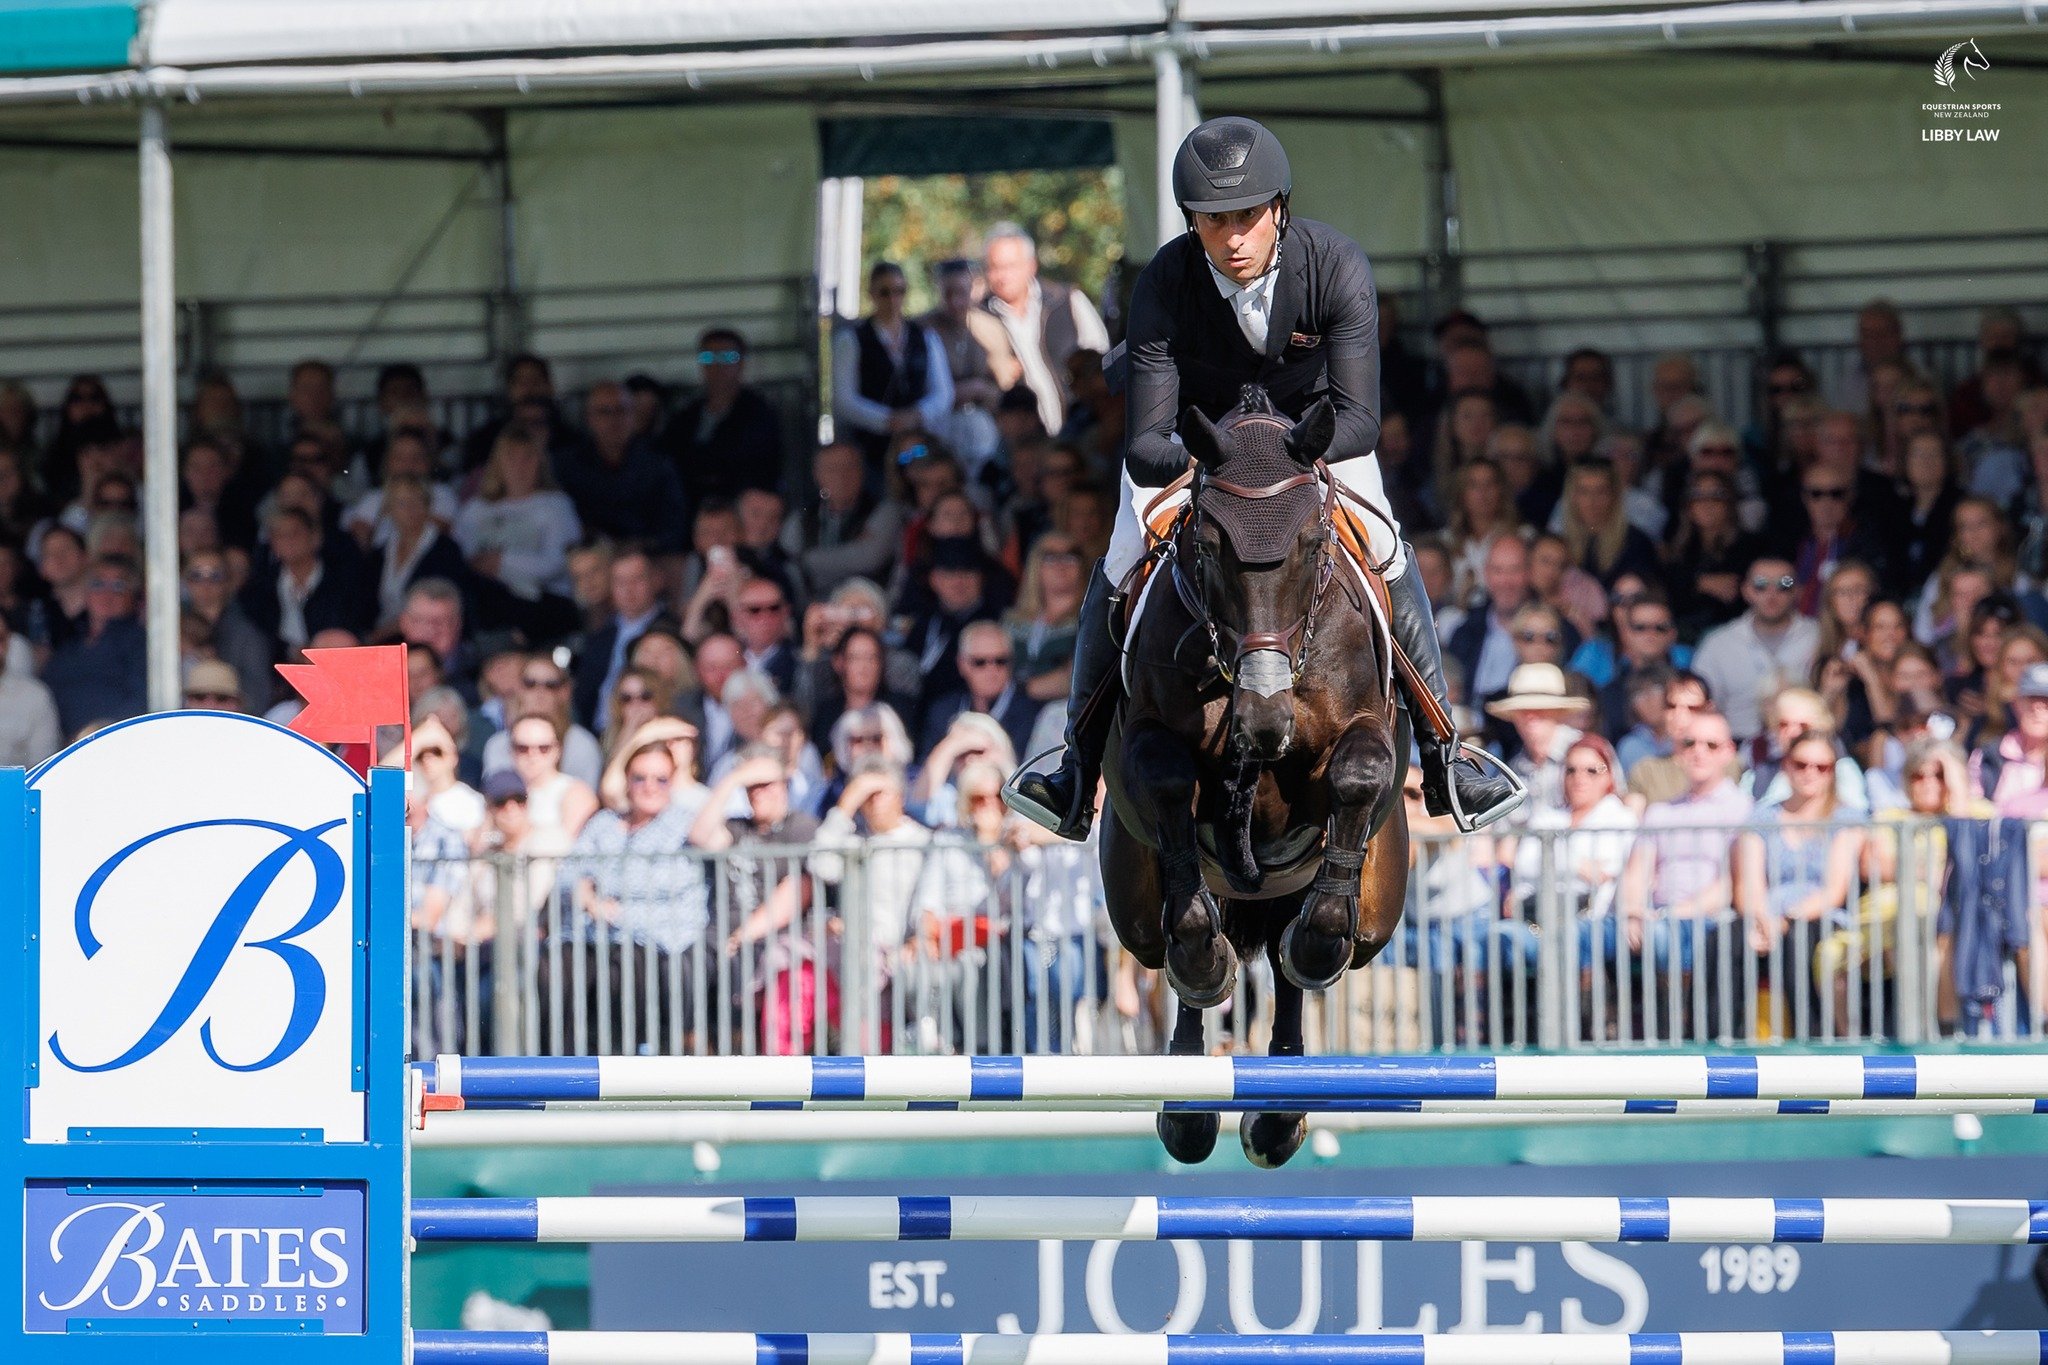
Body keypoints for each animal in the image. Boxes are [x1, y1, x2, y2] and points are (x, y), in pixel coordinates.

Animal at [1099, 385, 1410, 1169]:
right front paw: (1207, 962)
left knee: (1292, 955)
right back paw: (1190, 1102)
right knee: (1175, 947)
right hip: (1134, 903)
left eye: (1312, 544)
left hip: (1374, 908)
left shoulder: (1363, 732)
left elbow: (1359, 774)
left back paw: (1278, 1109)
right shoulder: (1150, 743)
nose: (1265, 716)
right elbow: (1168, 785)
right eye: (1209, 547)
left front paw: (1315, 944)